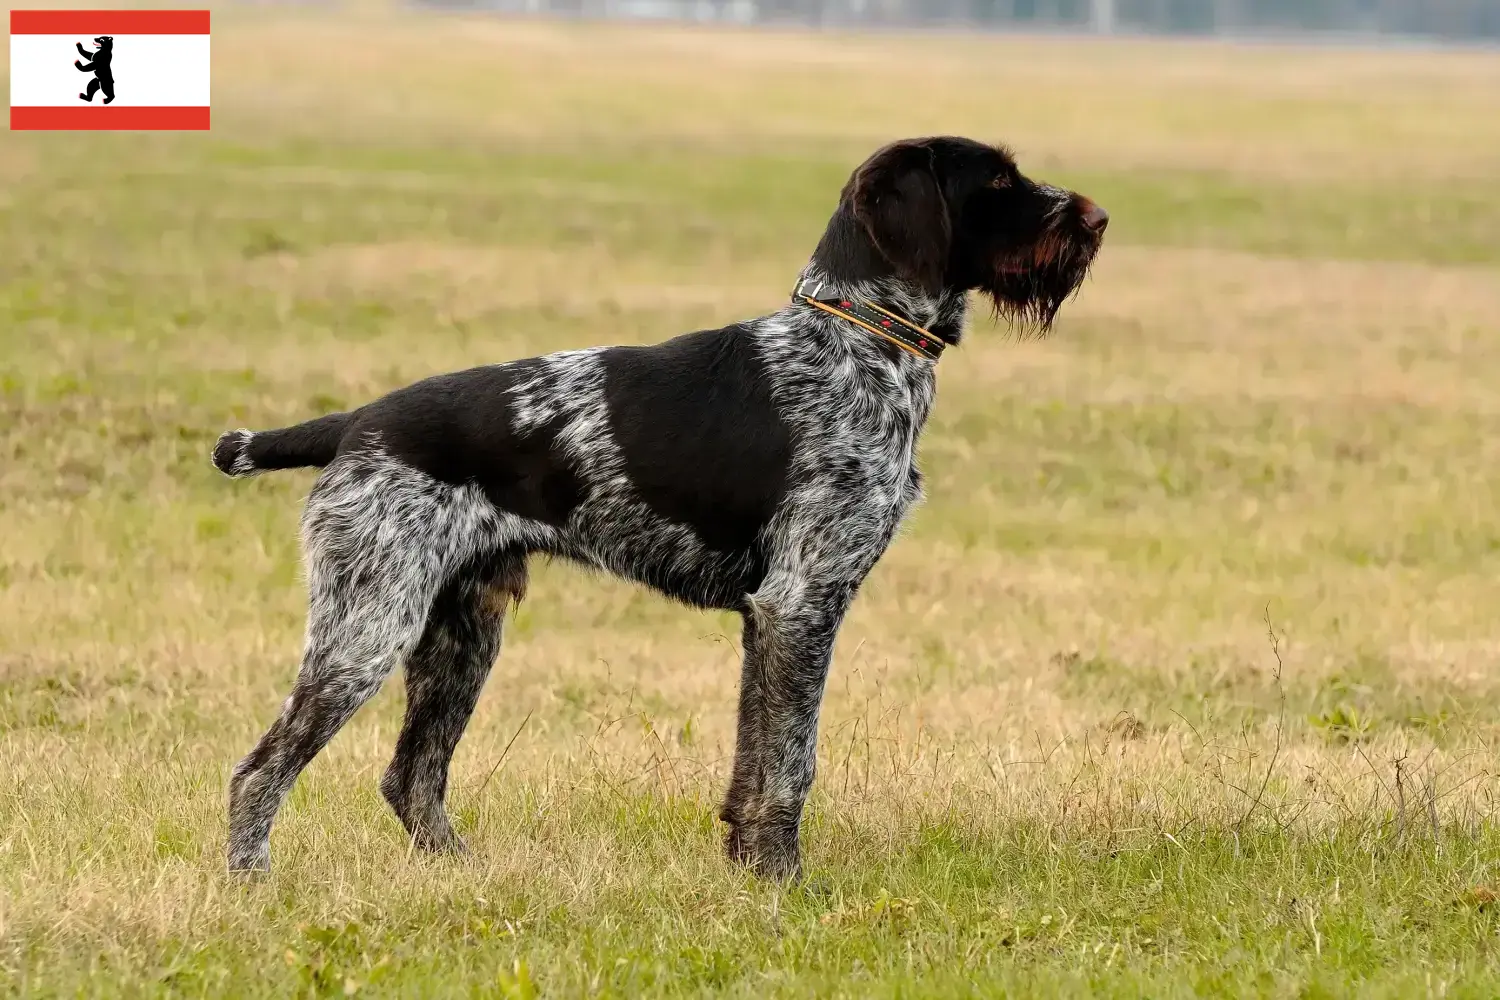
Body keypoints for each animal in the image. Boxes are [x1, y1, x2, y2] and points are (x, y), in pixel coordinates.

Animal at [211, 134, 1104, 875]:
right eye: (998, 180)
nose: (1098, 220)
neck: (858, 341)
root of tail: (357, 422)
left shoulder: (770, 619)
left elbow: (754, 760)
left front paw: (747, 870)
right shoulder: (802, 604)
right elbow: (790, 763)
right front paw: (784, 882)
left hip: (462, 633)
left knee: (410, 777)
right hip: (368, 627)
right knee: (259, 771)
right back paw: (253, 883)